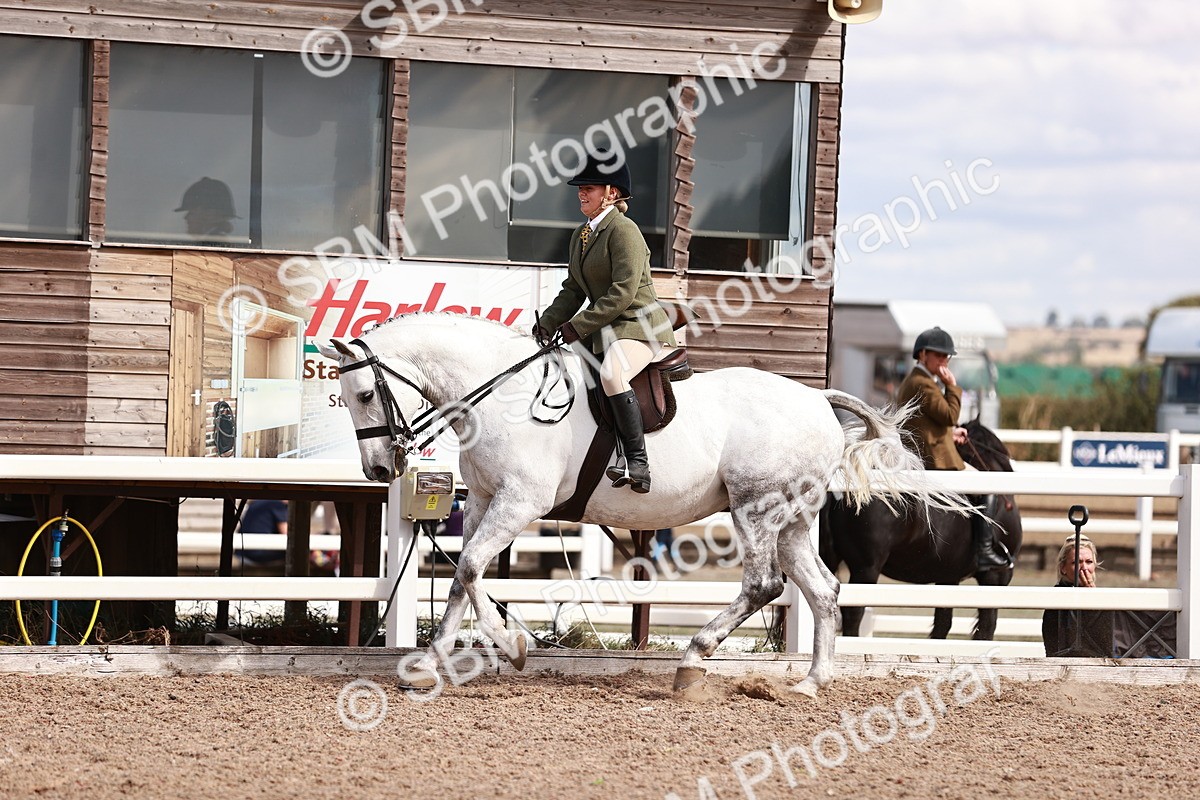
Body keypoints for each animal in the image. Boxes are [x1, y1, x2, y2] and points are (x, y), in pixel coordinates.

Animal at [317, 312, 974, 698]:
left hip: (754, 508)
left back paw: (693, 663)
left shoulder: (519, 503)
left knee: (763, 586)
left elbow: (473, 567)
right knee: (821, 590)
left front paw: (514, 646)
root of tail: (818, 401)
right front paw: (433, 663)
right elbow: (461, 576)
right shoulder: (481, 502)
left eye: (364, 392)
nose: (380, 470)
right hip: (791, 518)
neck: (498, 394)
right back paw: (810, 682)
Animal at [818, 419, 1023, 640]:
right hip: (866, 569)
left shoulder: (948, 577)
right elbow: (986, 628)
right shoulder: (996, 577)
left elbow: (943, 624)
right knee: (853, 614)